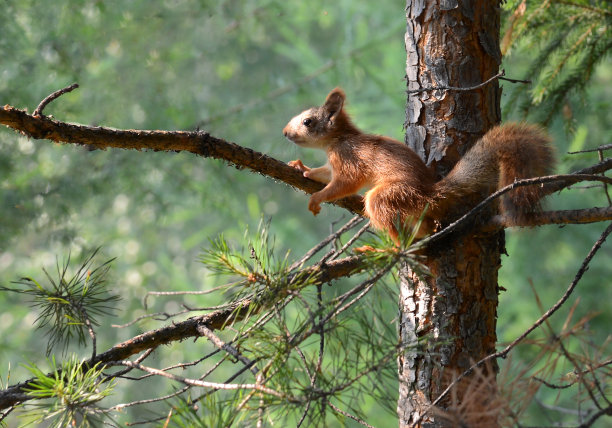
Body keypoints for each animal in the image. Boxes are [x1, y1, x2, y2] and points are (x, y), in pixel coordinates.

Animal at [282, 87, 556, 244]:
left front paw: (317, 197)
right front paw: (303, 169)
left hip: (393, 195)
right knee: (421, 226)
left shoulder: (348, 159)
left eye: (307, 122)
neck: (338, 139)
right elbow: (324, 174)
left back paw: (392, 247)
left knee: (382, 210)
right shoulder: (333, 163)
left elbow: (344, 184)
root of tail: (429, 194)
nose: (285, 133)